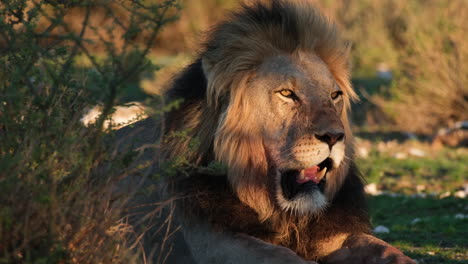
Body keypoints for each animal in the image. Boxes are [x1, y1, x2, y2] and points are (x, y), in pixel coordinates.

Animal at [115, 1, 414, 262]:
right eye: (287, 94)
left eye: (334, 95)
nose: (334, 136)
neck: (286, 216)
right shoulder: (209, 240)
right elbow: (280, 256)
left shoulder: (334, 235)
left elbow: (388, 250)